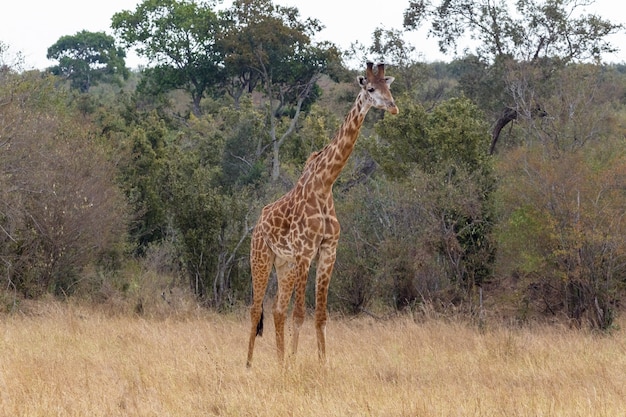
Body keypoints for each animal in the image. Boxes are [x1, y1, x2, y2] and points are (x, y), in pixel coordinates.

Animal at [244, 62, 394, 368]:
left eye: (390, 87)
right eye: (371, 89)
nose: (393, 107)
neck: (326, 184)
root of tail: (258, 223)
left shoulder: (327, 251)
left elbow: (321, 316)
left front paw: (321, 365)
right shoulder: (305, 252)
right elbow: (300, 314)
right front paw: (296, 363)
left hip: (284, 265)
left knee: (277, 309)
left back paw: (280, 363)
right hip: (261, 258)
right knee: (256, 310)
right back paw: (250, 365)